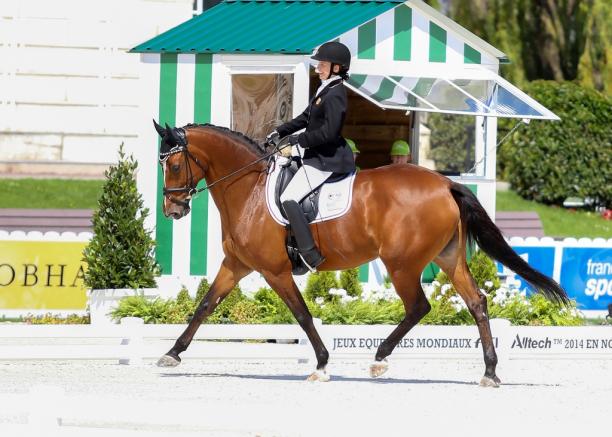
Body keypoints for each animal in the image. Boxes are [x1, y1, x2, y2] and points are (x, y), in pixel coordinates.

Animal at [153, 119, 568, 384]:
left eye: (173, 165)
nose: (173, 210)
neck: (248, 190)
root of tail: (445, 183)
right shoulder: (236, 264)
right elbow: (205, 305)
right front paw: (172, 353)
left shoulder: (275, 271)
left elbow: (302, 315)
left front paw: (321, 365)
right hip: (447, 258)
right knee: (477, 302)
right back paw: (490, 372)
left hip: (401, 264)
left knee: (419, 307)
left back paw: (380, 359)